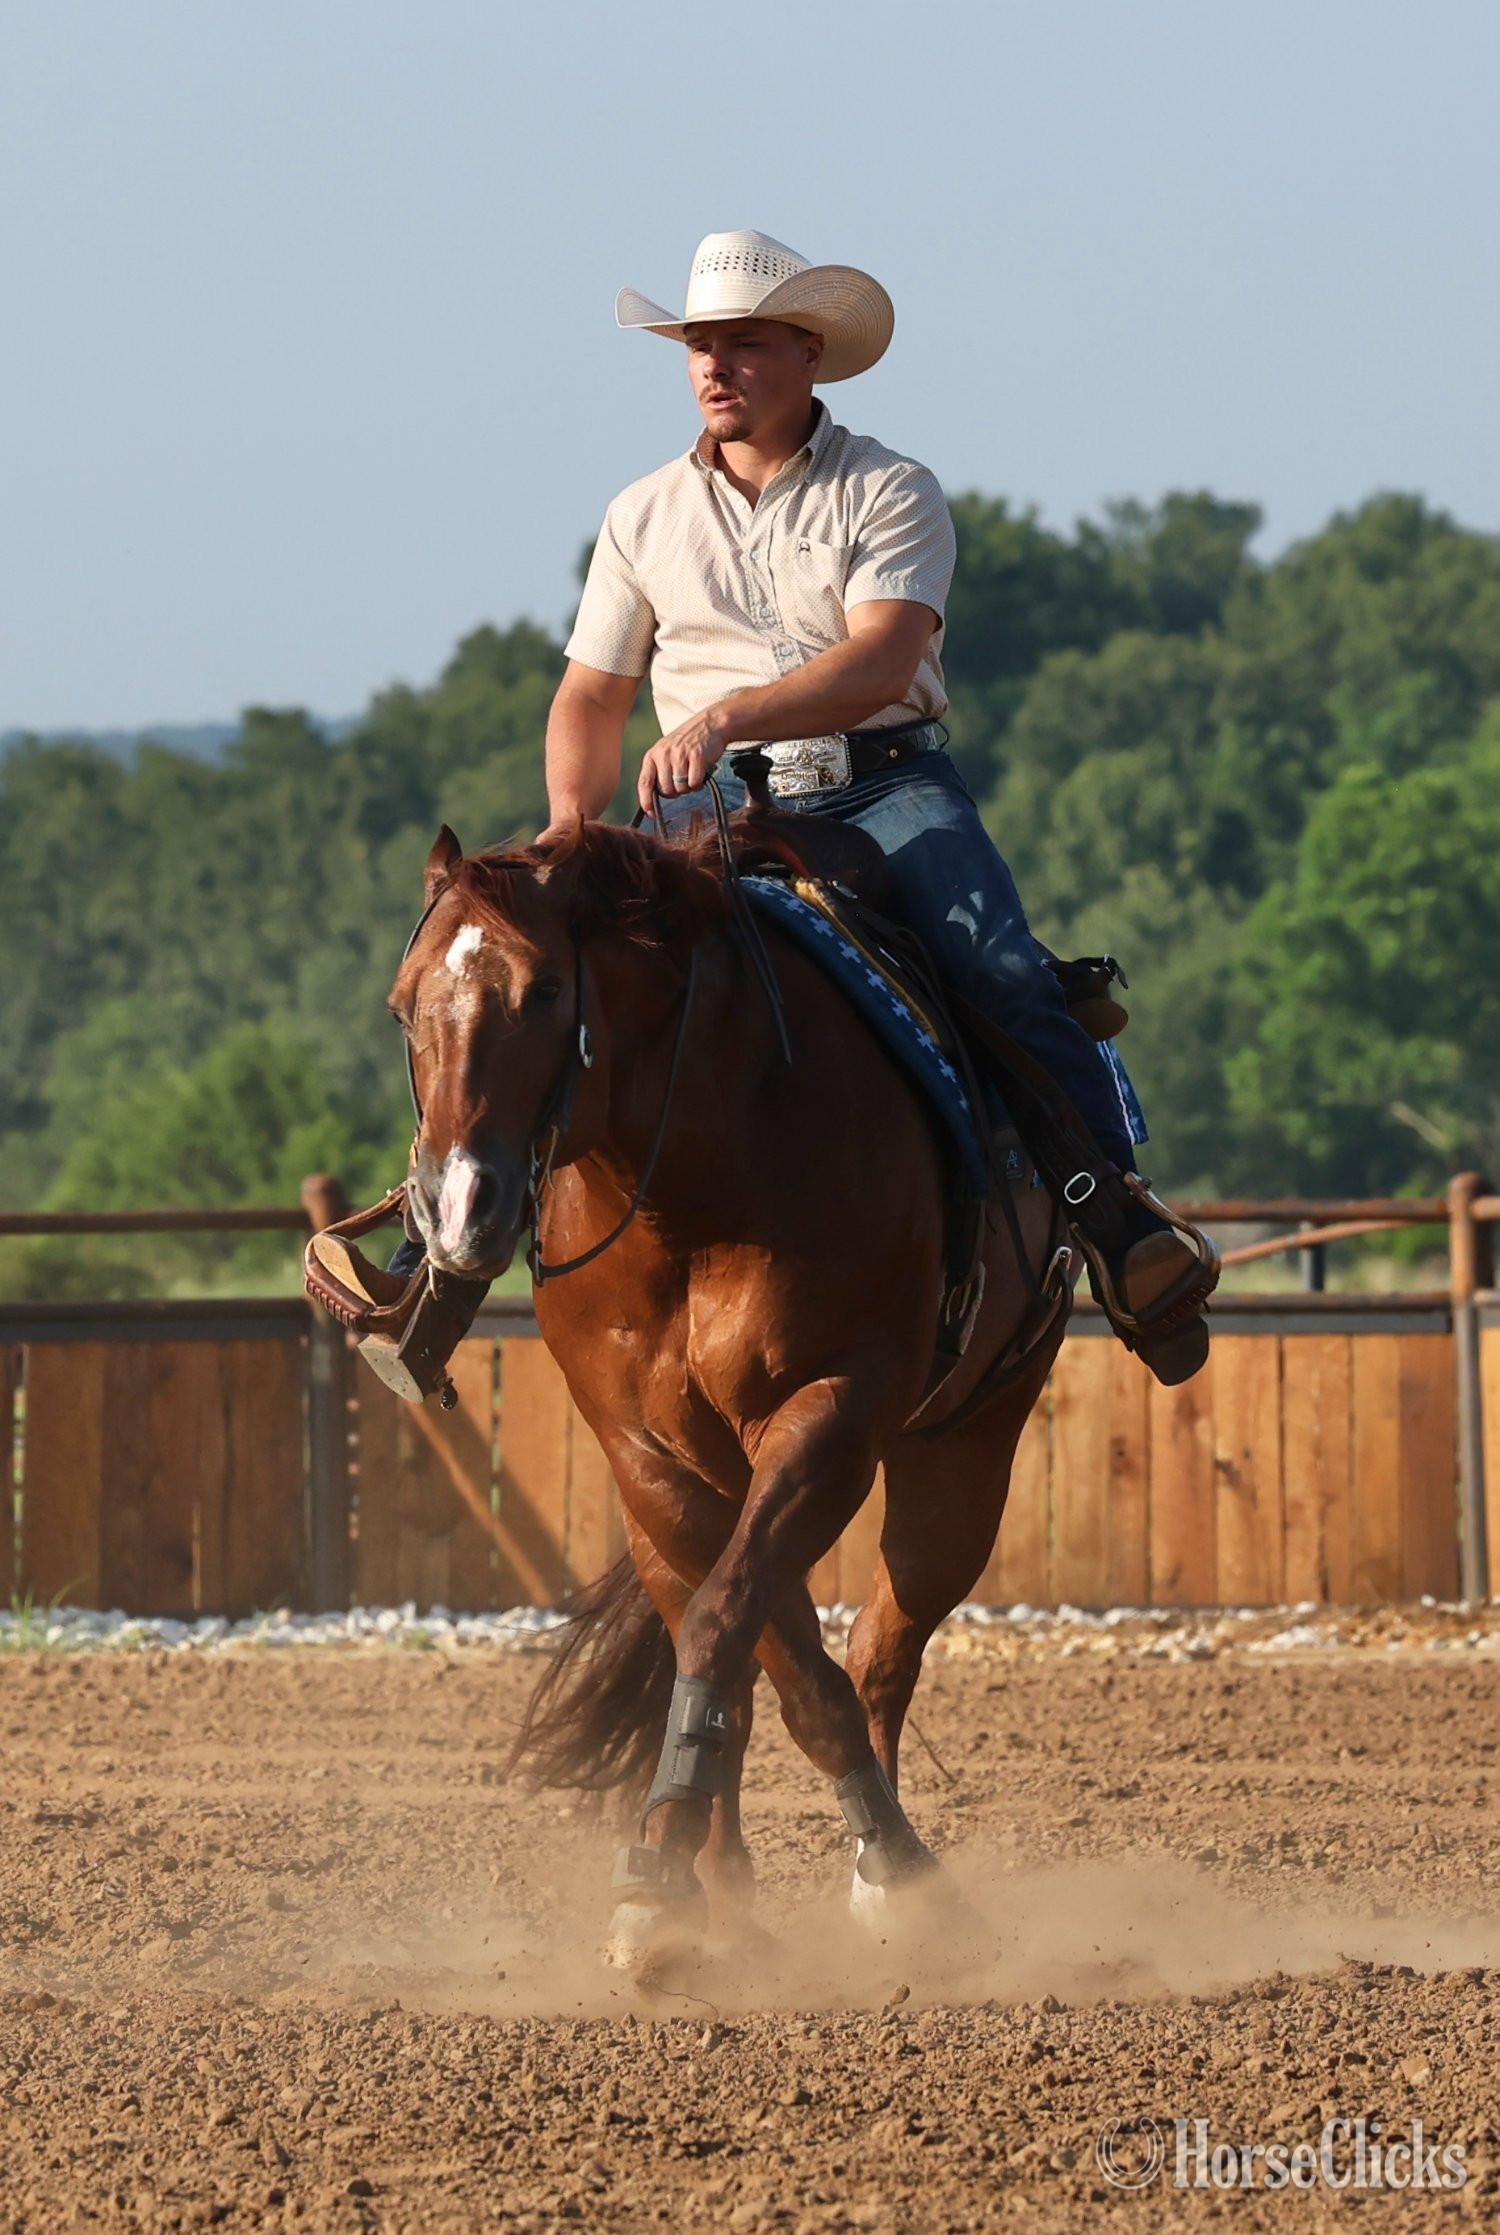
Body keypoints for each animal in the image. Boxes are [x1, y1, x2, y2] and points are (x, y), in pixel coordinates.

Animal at [391, 814, 1068, 1966]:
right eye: (403, 1004)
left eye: (544, 991)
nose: (457, 1205)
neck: (692, 1188)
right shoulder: (653, 1458)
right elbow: (758, 1653)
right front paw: (678, 1882)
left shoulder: (829, 1417)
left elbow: (749, 1638)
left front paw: (890, 1871)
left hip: (969, 1446)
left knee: (883, 1649)